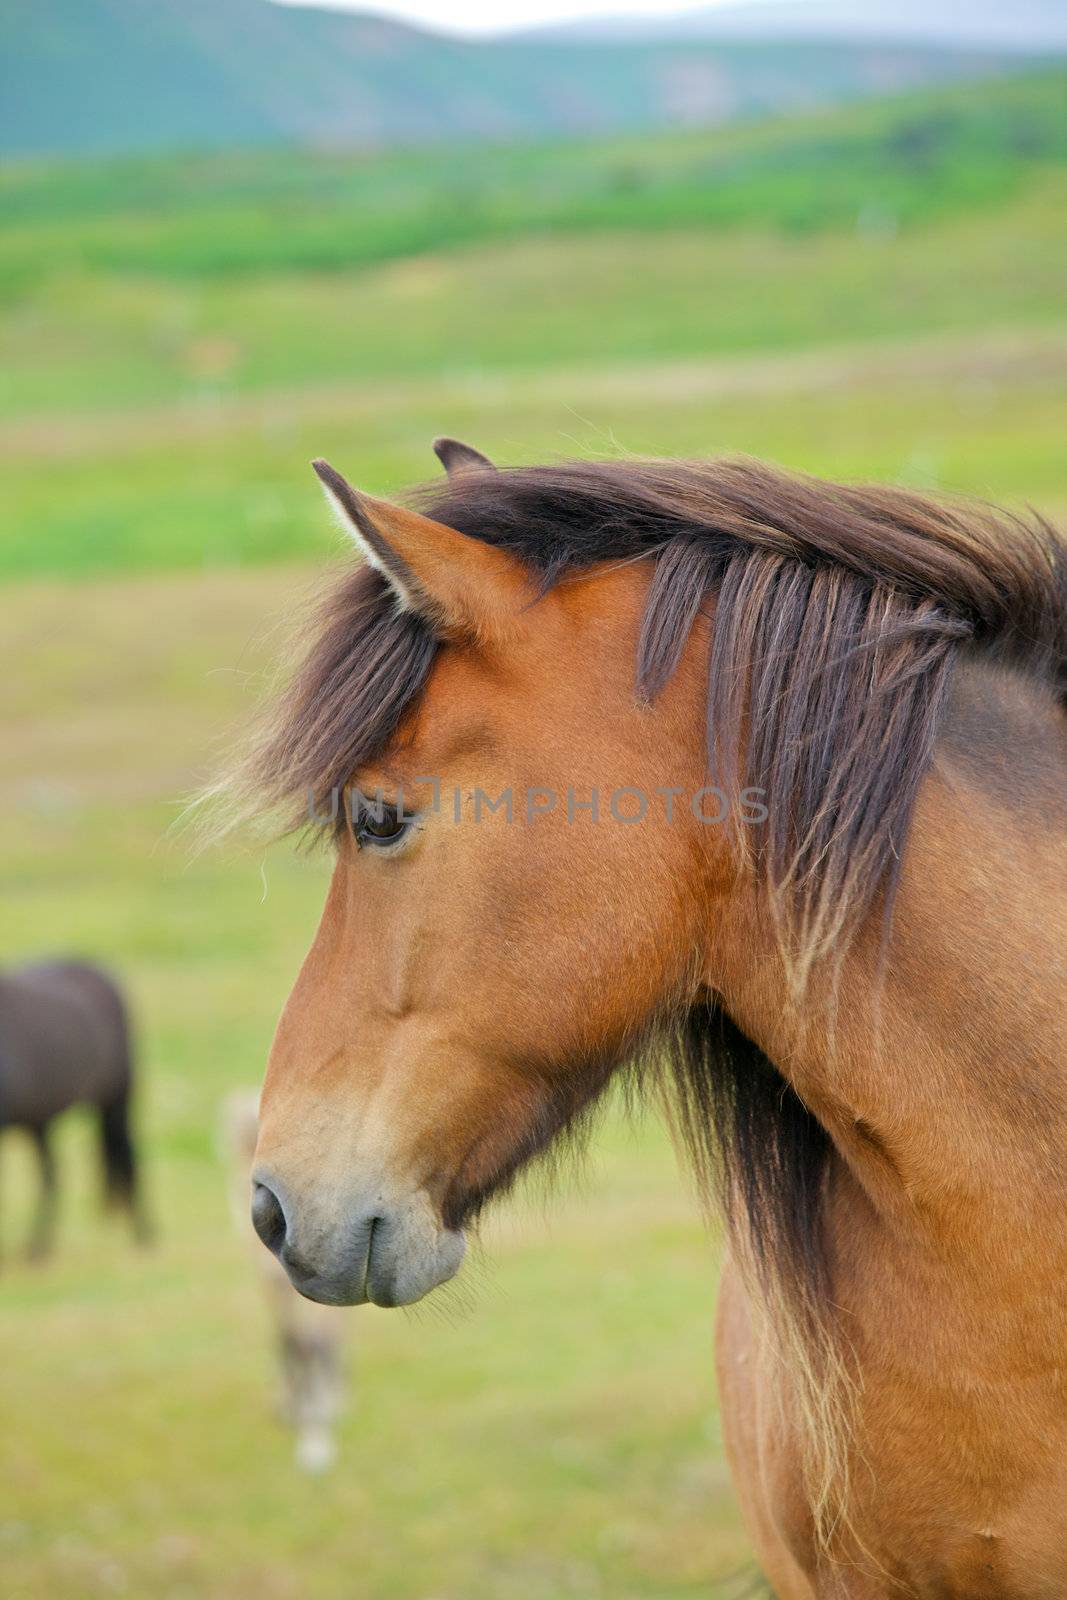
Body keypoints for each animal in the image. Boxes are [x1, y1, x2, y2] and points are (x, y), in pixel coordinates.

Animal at [0, 953, 147, 1254]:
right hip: (41, 1122)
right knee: (52, 1176)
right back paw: (37, 1248)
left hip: (116, 1102)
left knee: (128, 1157)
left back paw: (143, 1238)